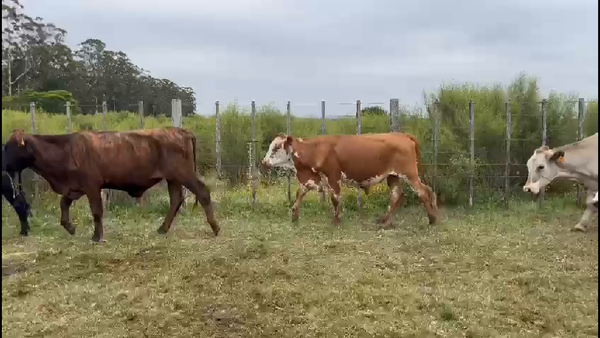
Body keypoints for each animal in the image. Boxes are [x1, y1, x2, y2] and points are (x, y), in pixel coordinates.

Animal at [3, 127, 219, 243]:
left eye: (9, 147)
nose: (2, 163)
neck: (65, 150)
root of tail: (180, 131)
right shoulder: (74, 188)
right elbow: (63, 204)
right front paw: (70, 227)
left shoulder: (92, 186)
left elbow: (96, 211)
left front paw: (97, 236)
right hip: (173, 178)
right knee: (176, 199)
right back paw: (162, 229)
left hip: (183, 174)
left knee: (203, 192)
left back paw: (215, 227)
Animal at [260, 132, 438, 227]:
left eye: (276, 148)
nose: (263, 163)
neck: (317, 150)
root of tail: (401, 134)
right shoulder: (311, 179)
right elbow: (299, 194)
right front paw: (294, 215)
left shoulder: (333, 177)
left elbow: (335, 199)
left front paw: (336, 220)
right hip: (392, 176)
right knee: (397, 195)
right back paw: (383, 219)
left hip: (409, 174)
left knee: (424, 192)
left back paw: (432, 218)